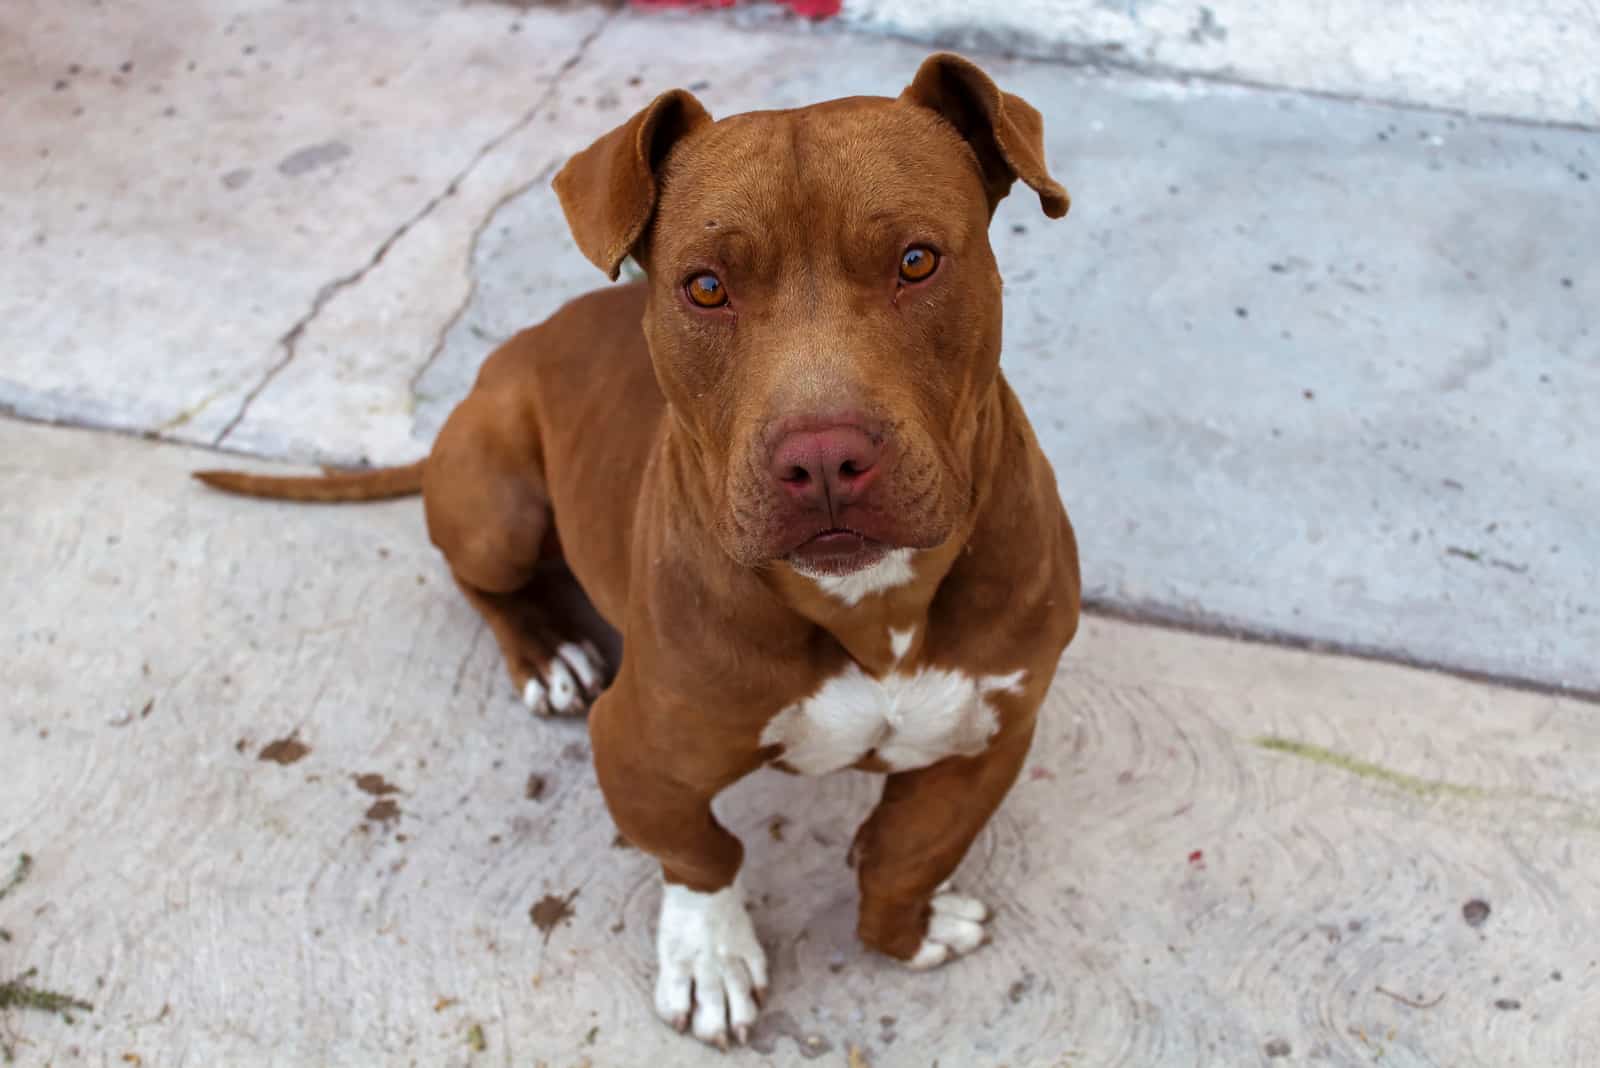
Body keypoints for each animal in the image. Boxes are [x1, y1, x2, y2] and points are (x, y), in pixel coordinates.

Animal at [193, 54, 1081, 1048]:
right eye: (706, 287)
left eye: (917, 261)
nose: (821, 459)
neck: (872, 606)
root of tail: (505, 359)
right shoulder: (636, 745)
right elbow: (698, 850)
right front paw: (709, 957)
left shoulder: (993, 735)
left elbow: (906, 853)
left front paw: (910, 926)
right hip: (496, 501)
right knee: (482, 579)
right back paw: (548, 652)